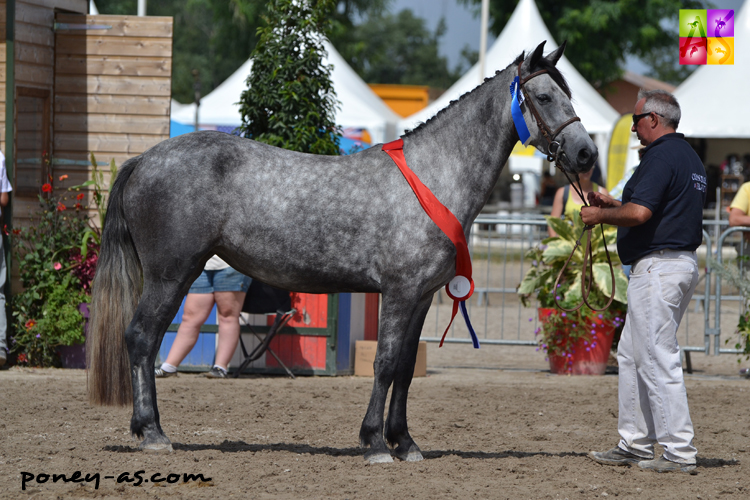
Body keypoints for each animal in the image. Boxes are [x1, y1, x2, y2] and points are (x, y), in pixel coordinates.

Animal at [88, 41, 596, 462]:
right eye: (545, 96)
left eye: (569, 93)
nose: (586, 153)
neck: (433, 176)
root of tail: (144, 160)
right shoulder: (398, 292)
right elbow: (385, 363)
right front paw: (375, 443)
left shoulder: (422, 297)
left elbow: (406, 368)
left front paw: (405, 442)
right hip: (171, 274)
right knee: (141, 338)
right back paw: (153, 433)